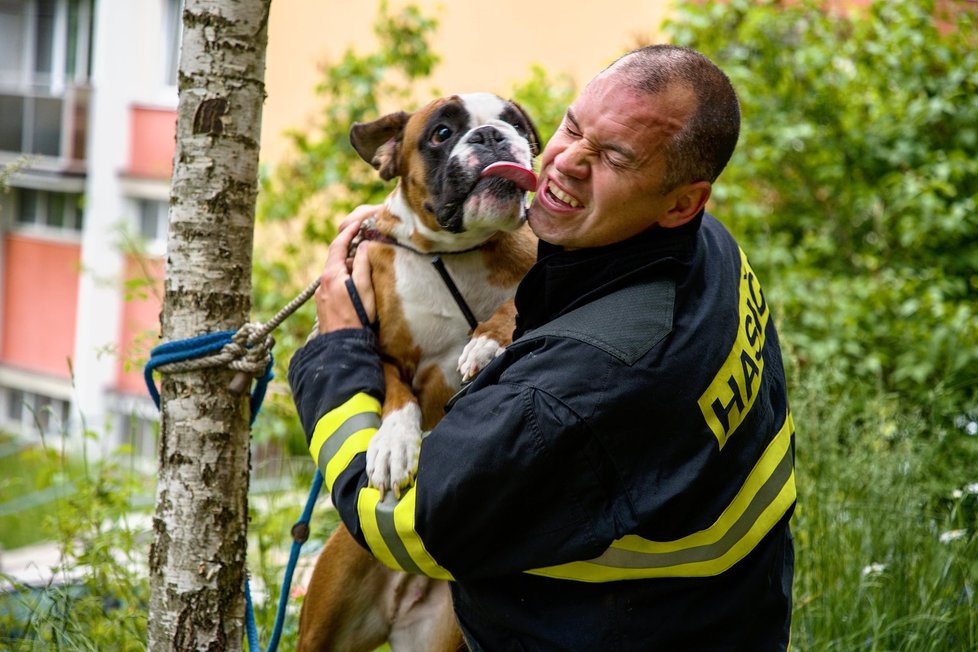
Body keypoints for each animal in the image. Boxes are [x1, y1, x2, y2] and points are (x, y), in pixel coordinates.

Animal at [298, 91, 540, 652]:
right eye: (441, 133)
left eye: (515, 124)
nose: (491, 135)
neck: (453, 255)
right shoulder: (383, 348)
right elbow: (395, 394)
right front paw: (393, 446)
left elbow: (516, 301)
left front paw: (486, 342)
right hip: (320, 629)